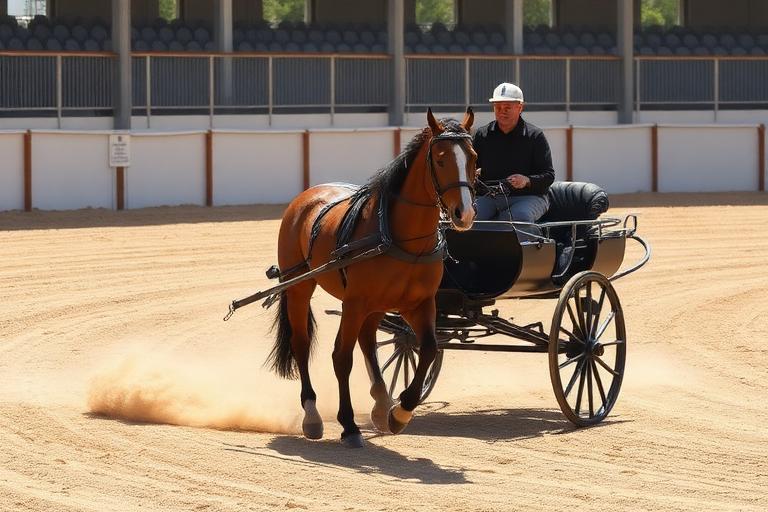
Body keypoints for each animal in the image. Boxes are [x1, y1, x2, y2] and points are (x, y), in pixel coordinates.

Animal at [267, 108, 477, 447]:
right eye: (441, 158)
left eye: (473, 156)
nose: (465, 214)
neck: (401, 239)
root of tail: (308, 195)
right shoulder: (354, 302)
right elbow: (341, 357)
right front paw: (349, 424)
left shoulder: (420, 304)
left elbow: (428, 349)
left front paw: (400, 412)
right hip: (300, 286)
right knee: (302, 343)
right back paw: (311, 414)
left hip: (377, 304)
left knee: (368, 342)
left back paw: (381, 403)